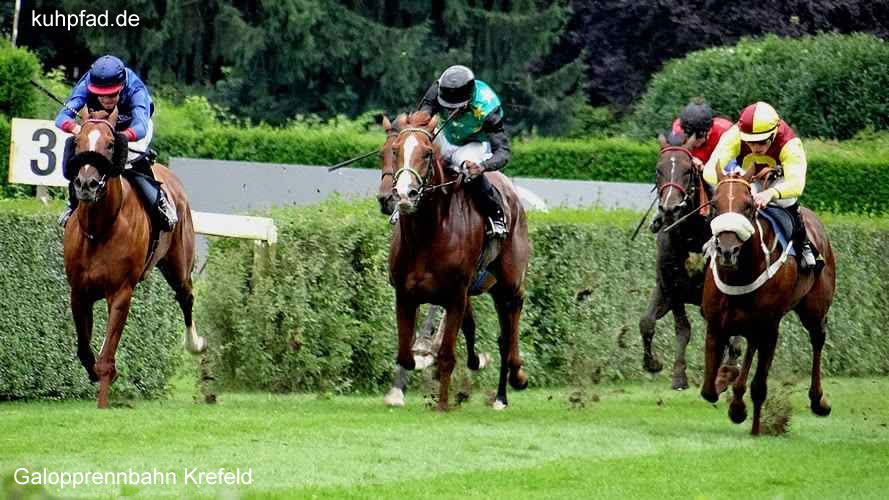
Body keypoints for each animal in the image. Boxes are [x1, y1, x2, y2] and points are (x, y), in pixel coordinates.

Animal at [64, 108, 206, 406]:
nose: (86, 184)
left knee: (186, 296)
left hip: (179, 264)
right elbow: (84, 348)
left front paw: (104, 398)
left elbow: (107, 357)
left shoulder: (121, 291)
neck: (99, 229)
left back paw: (195, 344)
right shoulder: (79, 291)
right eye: (78, 142)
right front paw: (95, 371)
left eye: (110, 144)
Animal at [386, 111, 528, 412]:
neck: (427, 234)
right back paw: (495, 387)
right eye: (394, 150)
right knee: (489, 332)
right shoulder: (405, 295)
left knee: (510, 328)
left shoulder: (454, 296)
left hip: (508, 283)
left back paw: (513, 380)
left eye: (427, 153)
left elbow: (447, 355)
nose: (405, 195)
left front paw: (442, 404)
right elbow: (405, 355)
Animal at [640, 136, 744, 390]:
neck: (690, 234)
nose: (670, 208)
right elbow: (664, 325)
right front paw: (666, 369)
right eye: (658, 169)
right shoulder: (671, 286)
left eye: (688, 170)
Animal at [700, 167, 832, 434]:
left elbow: (759, 386)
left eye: (749, 205)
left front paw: (749, 421)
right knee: (749, 346)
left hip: (814, 309)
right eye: (715, 205)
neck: (740, 274)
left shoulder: (770, 327)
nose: (727, 251)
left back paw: (818, 400)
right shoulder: (716, 324)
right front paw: (726, 382)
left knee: (818, 339)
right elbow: (708, 390)